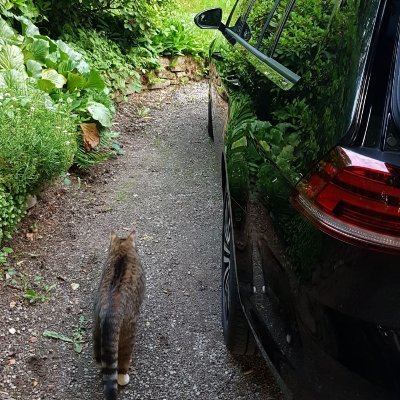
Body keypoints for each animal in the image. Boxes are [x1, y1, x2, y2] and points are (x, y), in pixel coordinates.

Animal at [93, 231, 145, 400]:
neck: (122, 249)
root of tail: (111, 311)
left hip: (96, 329)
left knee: (100, 358)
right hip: (128, 334)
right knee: (122, 362)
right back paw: (123, 377)